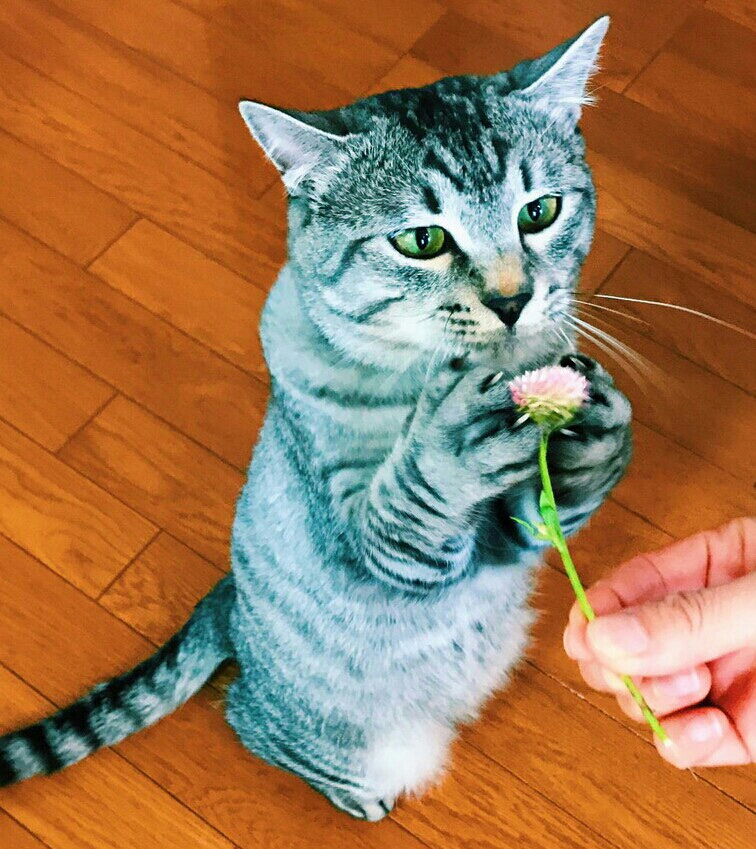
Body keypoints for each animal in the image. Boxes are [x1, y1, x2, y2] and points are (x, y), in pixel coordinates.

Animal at [0, 16, 632, 820]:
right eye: (422, 240)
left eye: (540, 211)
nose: (513, 300)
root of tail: (228, 605)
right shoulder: (382, 544)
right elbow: (416, 494)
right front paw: (450, 440)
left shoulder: (516, 528)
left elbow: (558, 498)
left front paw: (598, 431)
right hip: (356, 744)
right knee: (245, 716)